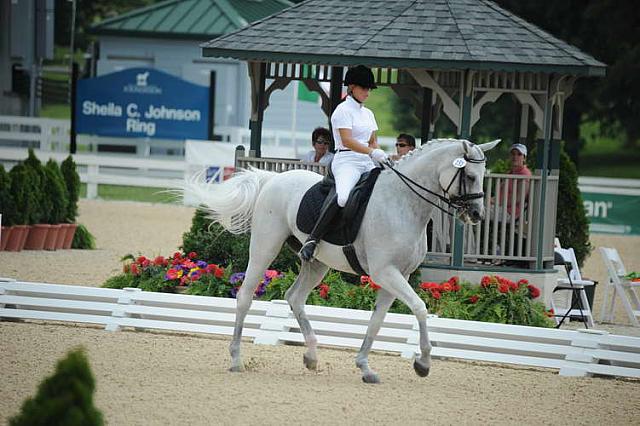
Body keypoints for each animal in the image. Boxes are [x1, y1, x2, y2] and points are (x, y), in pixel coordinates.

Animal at [182, 139, 498, 382]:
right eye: (470, 176)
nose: (477, 215)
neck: (403, 203)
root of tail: (273, 179)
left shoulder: (399, 276)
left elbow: (377, 321)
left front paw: (365, 367)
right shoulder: (386, 272)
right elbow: (420, 307)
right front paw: (423, 363)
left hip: (317, 262)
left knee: (294, 297)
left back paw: (311, 356)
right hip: (264, 247)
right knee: (246, 296)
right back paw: (236, 359)